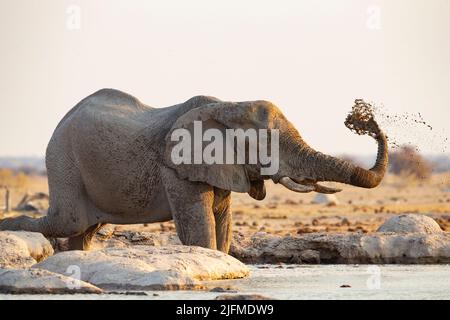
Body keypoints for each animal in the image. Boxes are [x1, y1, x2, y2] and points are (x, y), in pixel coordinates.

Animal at [0, 88, 386, 252]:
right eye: (267, 144)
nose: (362, 119)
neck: (228, 103)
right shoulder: (176, 168)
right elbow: (201, 231)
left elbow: (222, 223)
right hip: (62, 158)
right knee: (69, 222)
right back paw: (12, 229)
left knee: (82, 230)